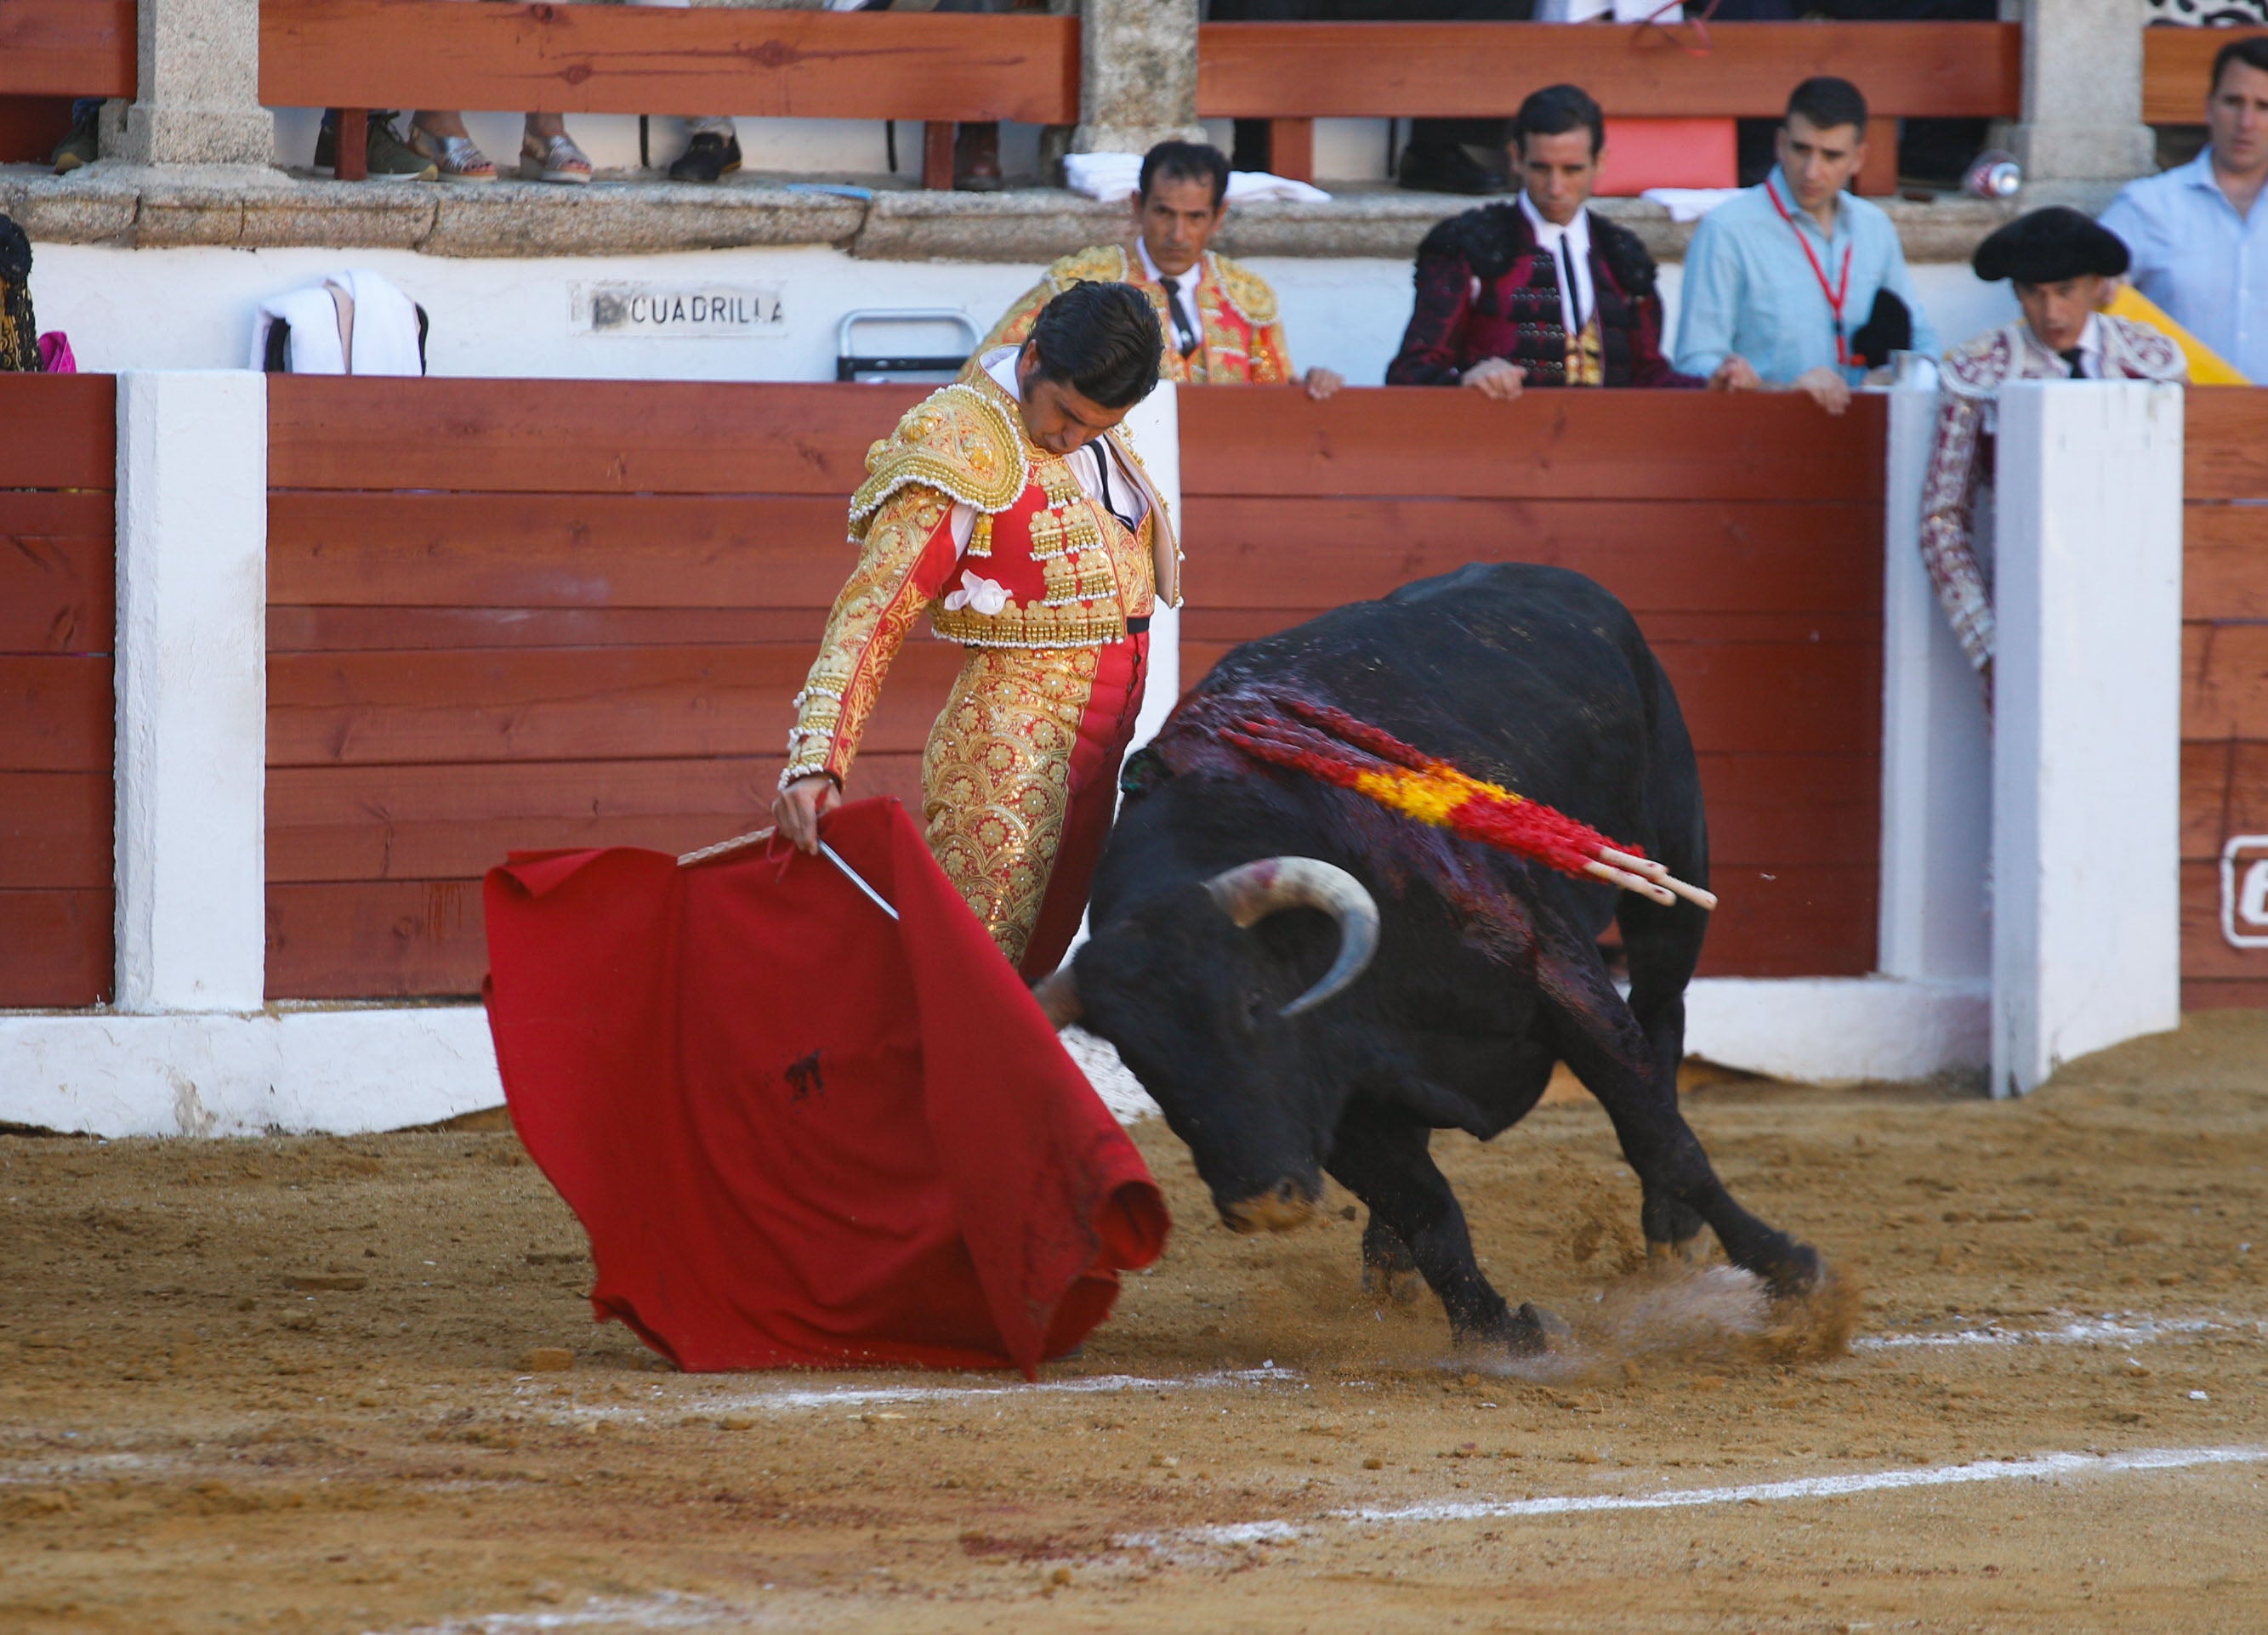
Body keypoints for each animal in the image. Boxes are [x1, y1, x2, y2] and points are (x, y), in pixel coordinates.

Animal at [1038, 562, 1823, 1351]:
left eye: (1253, 1004)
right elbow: (1427, 1210)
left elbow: (1662, 1139)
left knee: (1662, 1017)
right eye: (1139, 1061)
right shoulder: (1340, 1095)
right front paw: (1499, 1333)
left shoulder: (1566, 988)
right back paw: (1387, 1265)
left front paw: (1793, 1274)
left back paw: (1670, 1238)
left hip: (1672, 871)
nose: (1262, 1203)